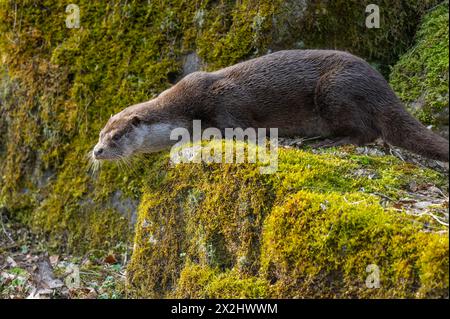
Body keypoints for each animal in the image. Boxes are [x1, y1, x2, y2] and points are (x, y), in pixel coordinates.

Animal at [93, 51, 448, 164]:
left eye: (117, 137)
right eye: (100, 134)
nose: (96, 151)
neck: (186, 108)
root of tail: (383, 86)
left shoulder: (225, 105)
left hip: (336, 90)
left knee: (368, 131)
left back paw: (329, 141)